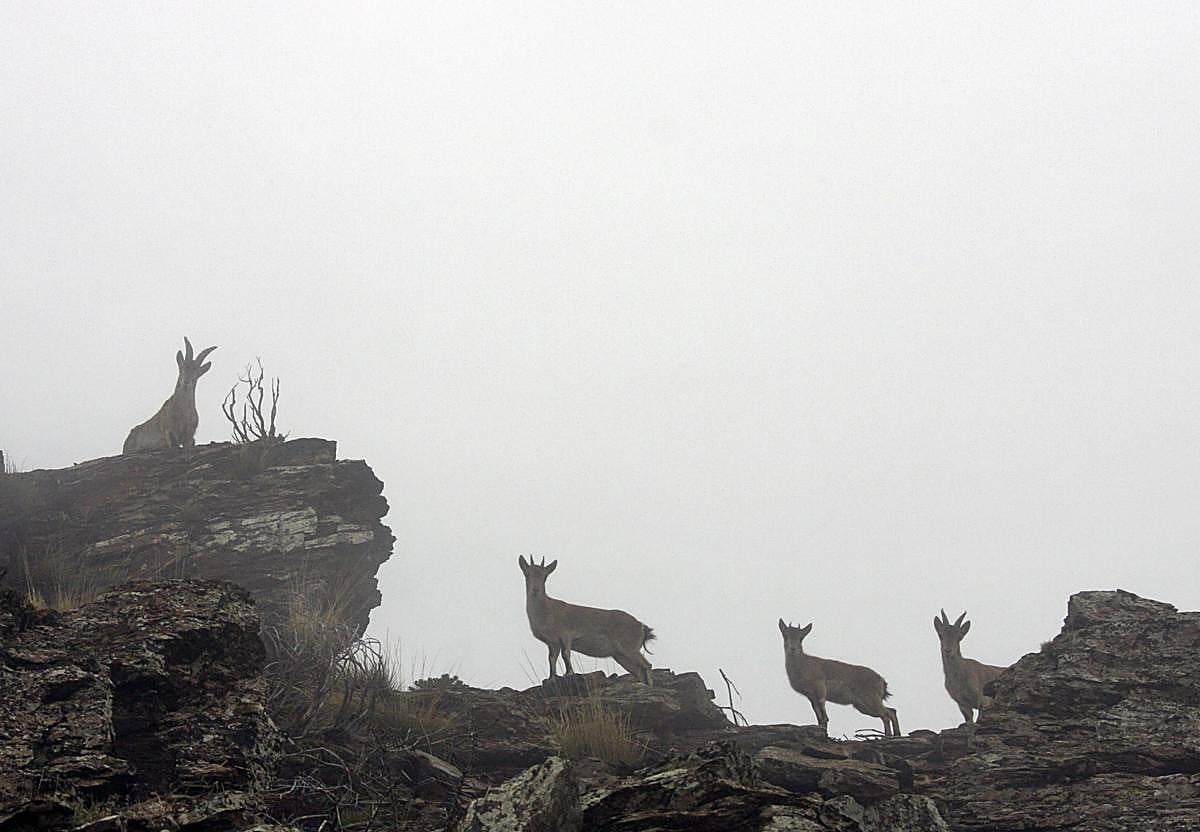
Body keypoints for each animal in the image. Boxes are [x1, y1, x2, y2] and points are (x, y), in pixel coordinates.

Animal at [518, 555, 655, 685]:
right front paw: (551, 679)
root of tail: (641, 626)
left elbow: (566, 654)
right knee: (639, 670)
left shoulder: (565, 635)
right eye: (527, 574)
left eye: (545, 576)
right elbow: (552, 659)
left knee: (647, 665)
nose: (535, 590)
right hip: (620, 656)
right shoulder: (552, 642)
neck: (546, 611)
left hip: (629, 648)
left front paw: (569, 674)